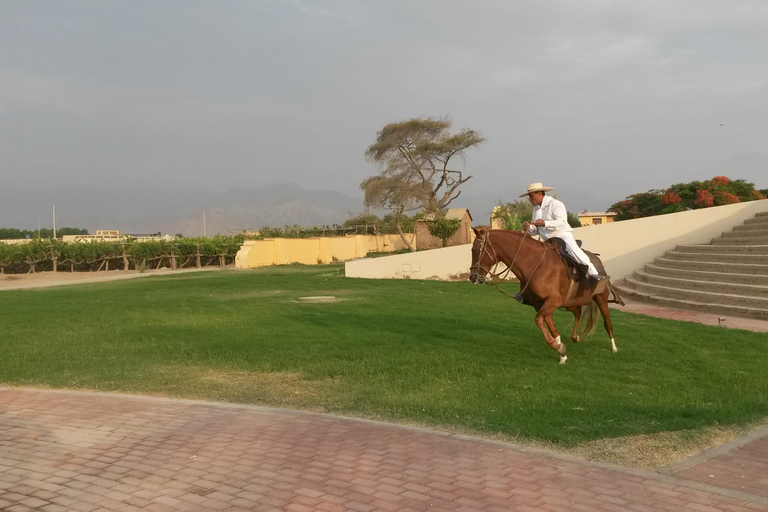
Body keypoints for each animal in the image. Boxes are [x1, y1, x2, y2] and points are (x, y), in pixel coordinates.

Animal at [468, 227, 624, 364]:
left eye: (475, 250)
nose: (472, 277)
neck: (536, 264)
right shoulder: (540, 304)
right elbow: (553, 330)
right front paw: (562, 353)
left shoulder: (553, 301)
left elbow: (539, 321)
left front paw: (559, 349)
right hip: (571, 302)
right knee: (578, 313)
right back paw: (575, 337)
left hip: (601, 297)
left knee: (607, 323)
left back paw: (614, 348)